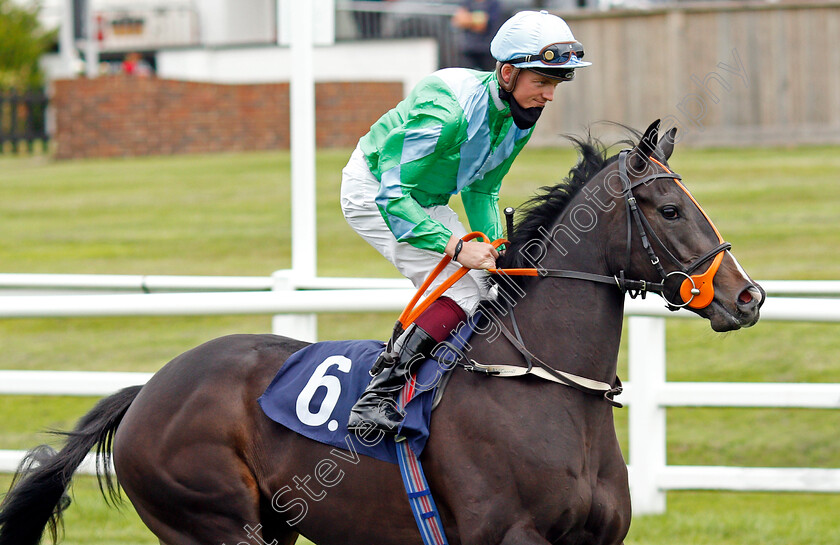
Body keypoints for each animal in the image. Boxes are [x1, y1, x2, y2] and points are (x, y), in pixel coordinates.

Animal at [0, 120, 760, 544]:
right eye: (670, 208)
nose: (747, 296)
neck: (544, 385)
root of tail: (146, 391)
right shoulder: (510, 535)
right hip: (210, 522)